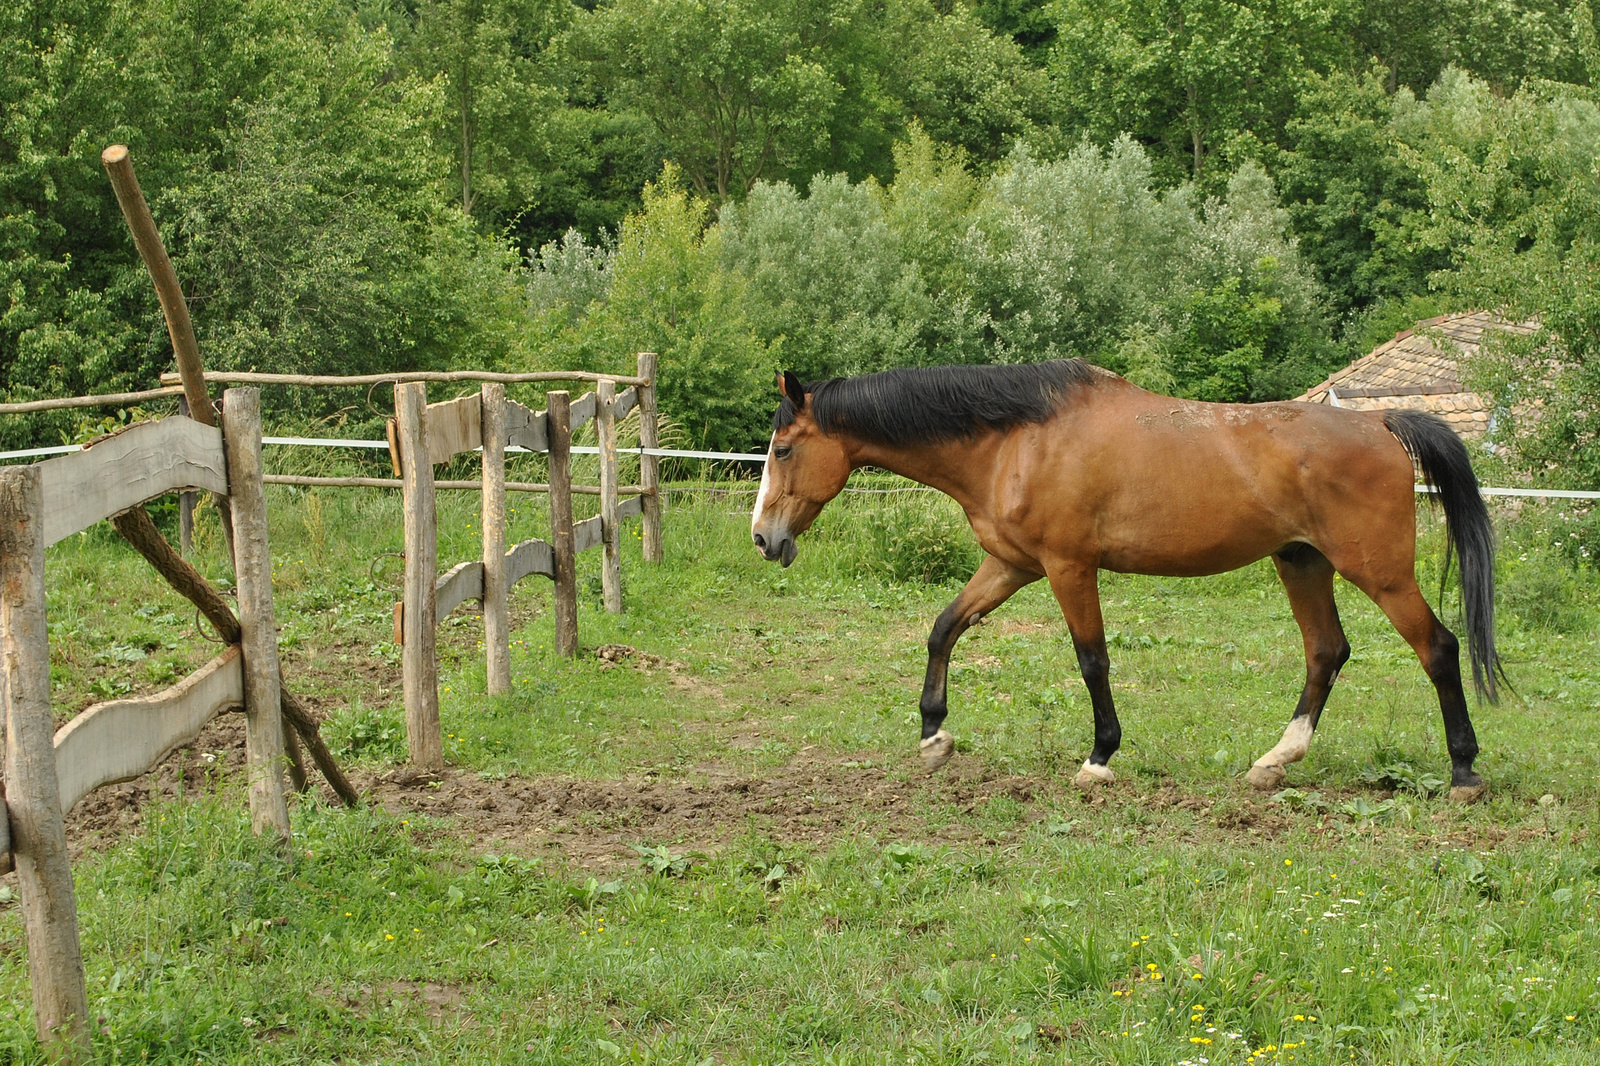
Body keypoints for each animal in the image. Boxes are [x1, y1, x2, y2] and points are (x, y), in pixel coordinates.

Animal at [748, 356, 1497, 797]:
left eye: (783, 449)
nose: (763, 537)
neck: (1016, 439)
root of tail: (1379, 422)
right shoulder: (1012, 564)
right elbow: (944, 628)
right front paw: (935, 735)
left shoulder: (1067, 567)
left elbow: (1092, 661)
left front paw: (1100, 755)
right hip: (1301, 562)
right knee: (1326, 652)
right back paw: (1275, 760)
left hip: (1379, 573)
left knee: (1438, 648)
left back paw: (1463, 770)